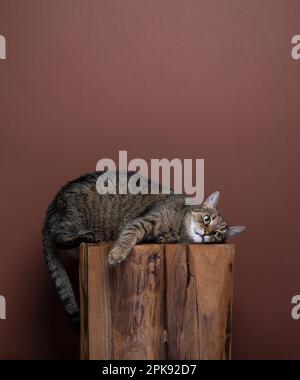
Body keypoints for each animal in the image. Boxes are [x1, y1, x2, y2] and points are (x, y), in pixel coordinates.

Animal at [41, 171, 244, 326]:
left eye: (218, 235)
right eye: (207, 219)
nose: (206, 233)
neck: (179, 228)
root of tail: (52, 206)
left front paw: (162, 238)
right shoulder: (144, 221)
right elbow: (128, 236)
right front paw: (117, 253)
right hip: (71, 221)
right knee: (58, 237)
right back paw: (86, 236)